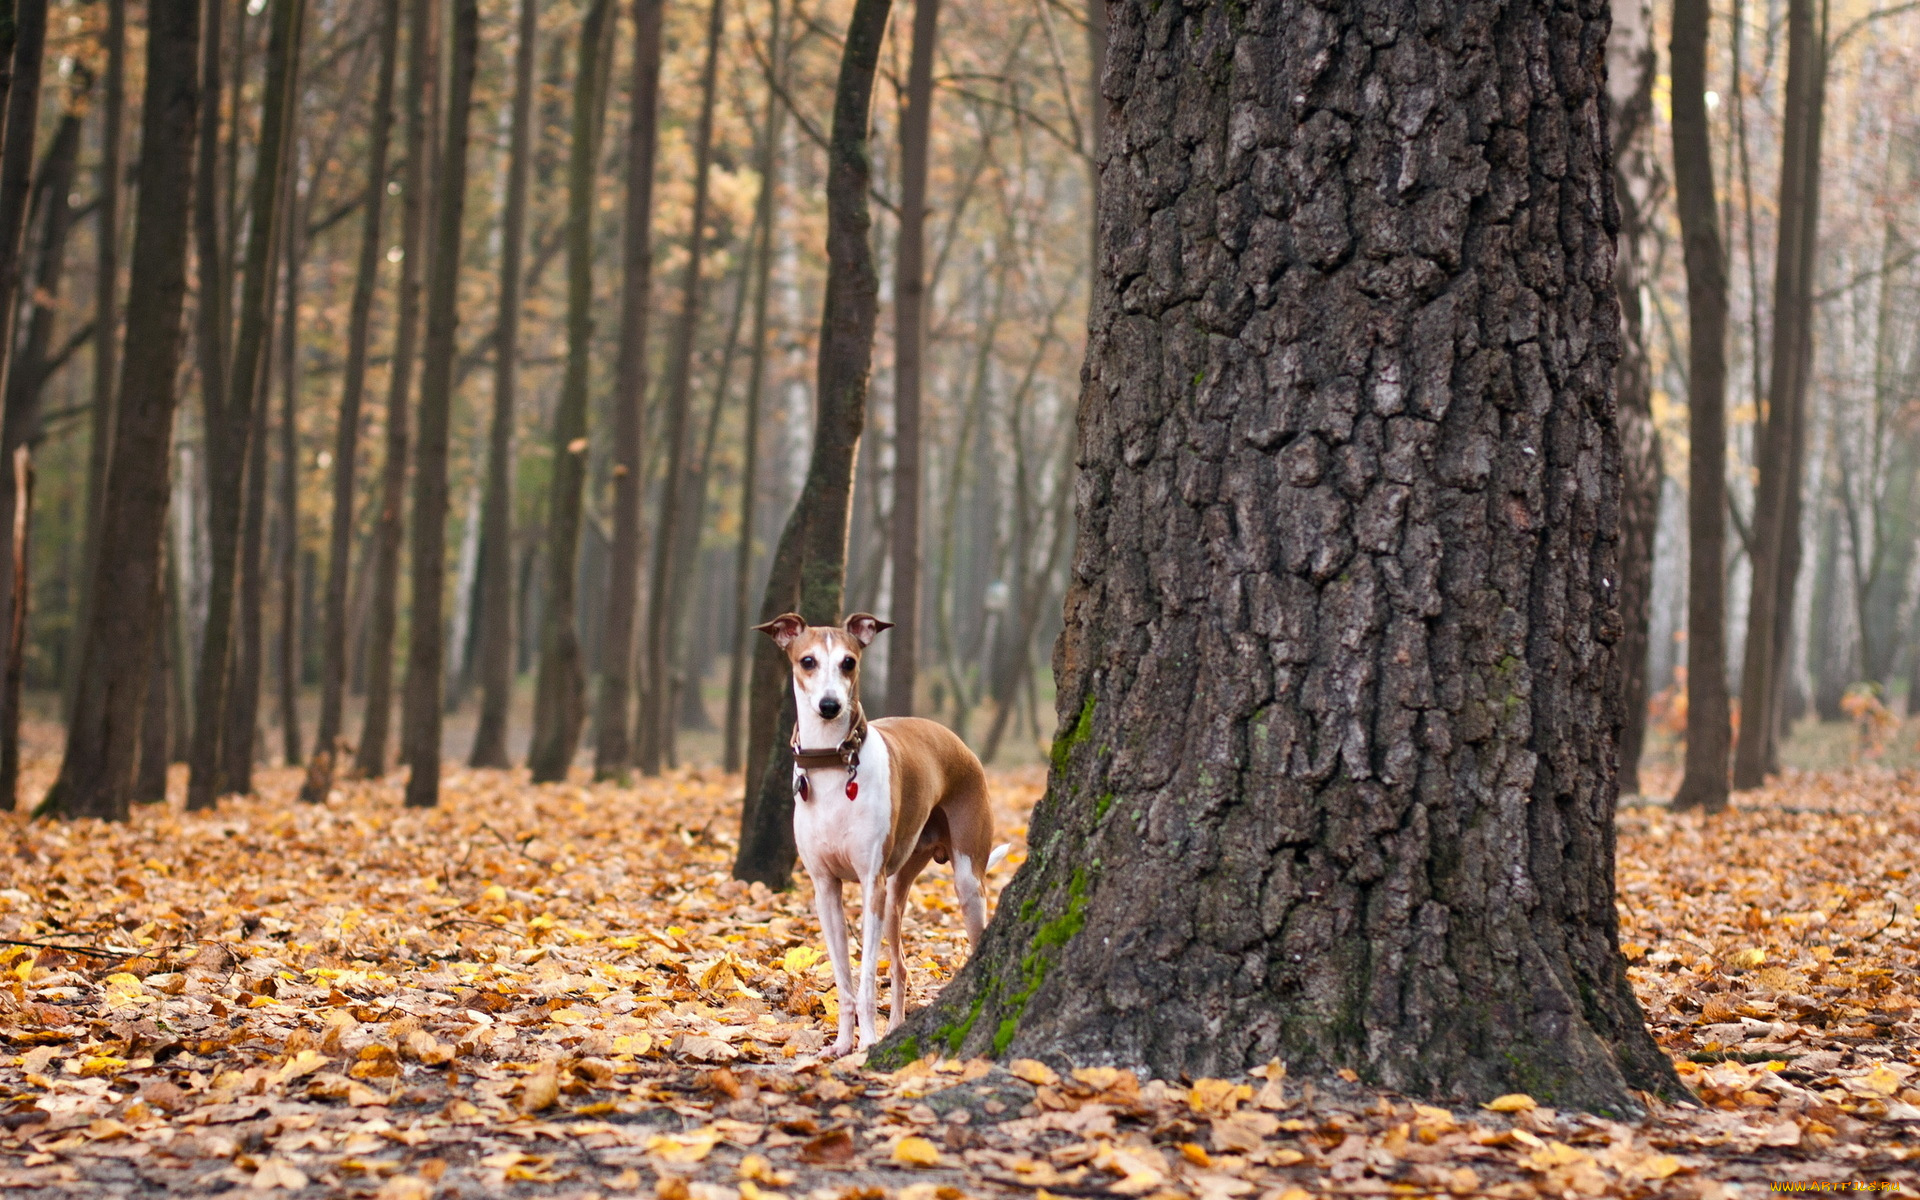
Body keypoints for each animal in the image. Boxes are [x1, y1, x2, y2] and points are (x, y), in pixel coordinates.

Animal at [756, 614, 1013, 1052]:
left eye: (848, 662)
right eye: (807, 661)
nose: (829, 706)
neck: (833, 764)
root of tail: (957, 742)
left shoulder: (869, 883)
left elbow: (864, 982)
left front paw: (867, 1045)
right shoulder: (825, 888)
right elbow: (844, 981)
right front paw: (843, 1044)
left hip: (964, 880)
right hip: (895, 892)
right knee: (902, 967)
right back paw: (895, 1028)